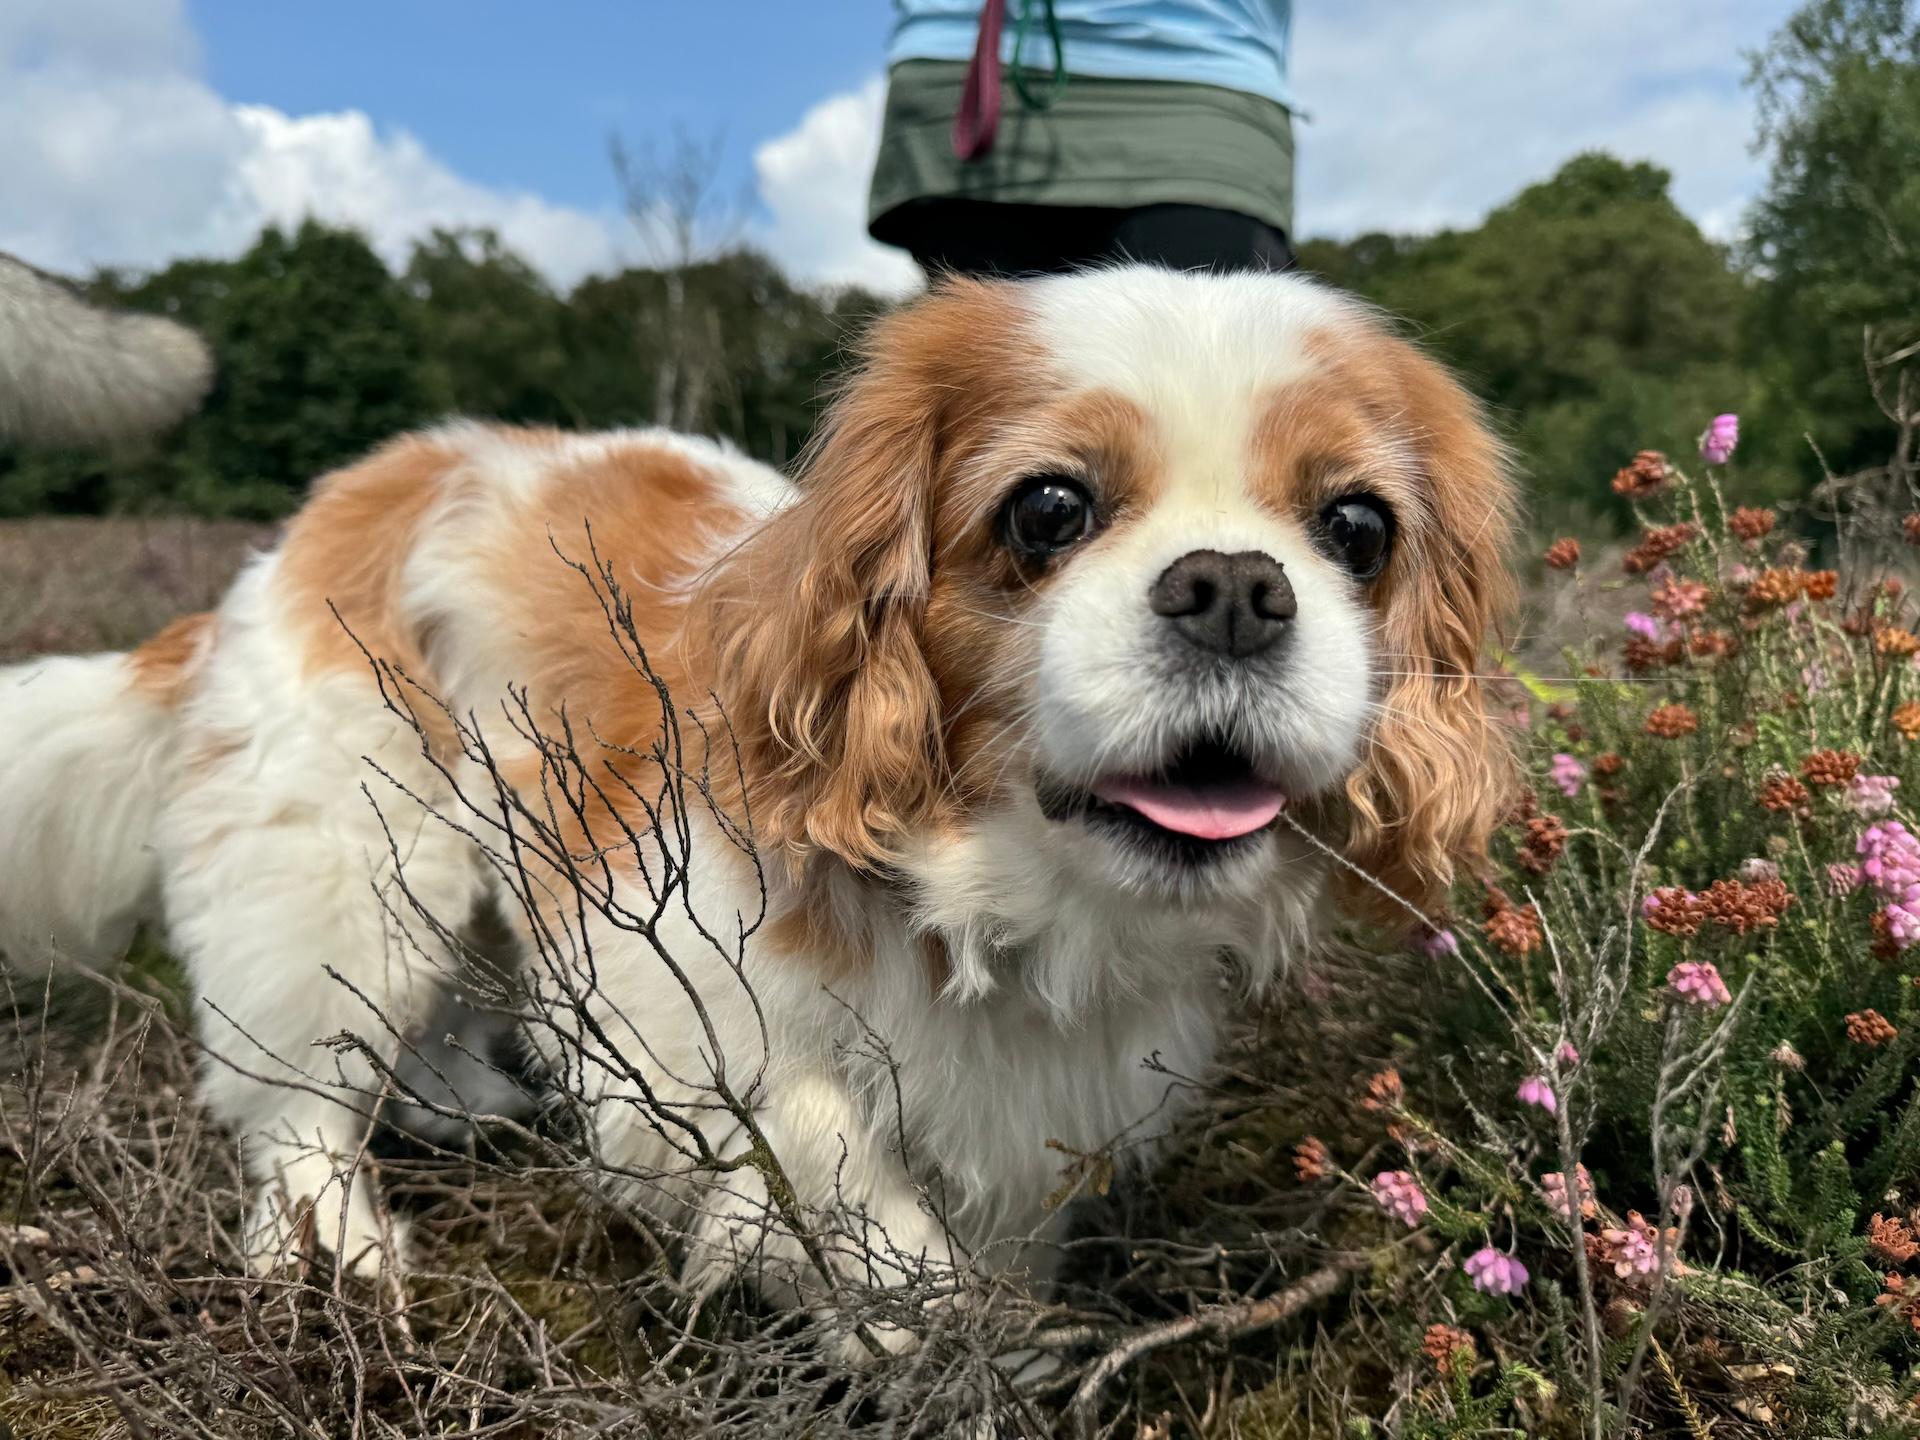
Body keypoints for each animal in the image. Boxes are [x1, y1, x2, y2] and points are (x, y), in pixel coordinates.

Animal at [0, 264, 1512, 1328]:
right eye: (1048, 510)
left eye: (1357, 529)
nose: (1236, 588)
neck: (1001, 893)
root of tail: (335, 507)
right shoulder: (654, 992)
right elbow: (830, 1152)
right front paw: (907, 1310)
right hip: (349, 872)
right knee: (302, 1095)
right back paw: (336, 1250)